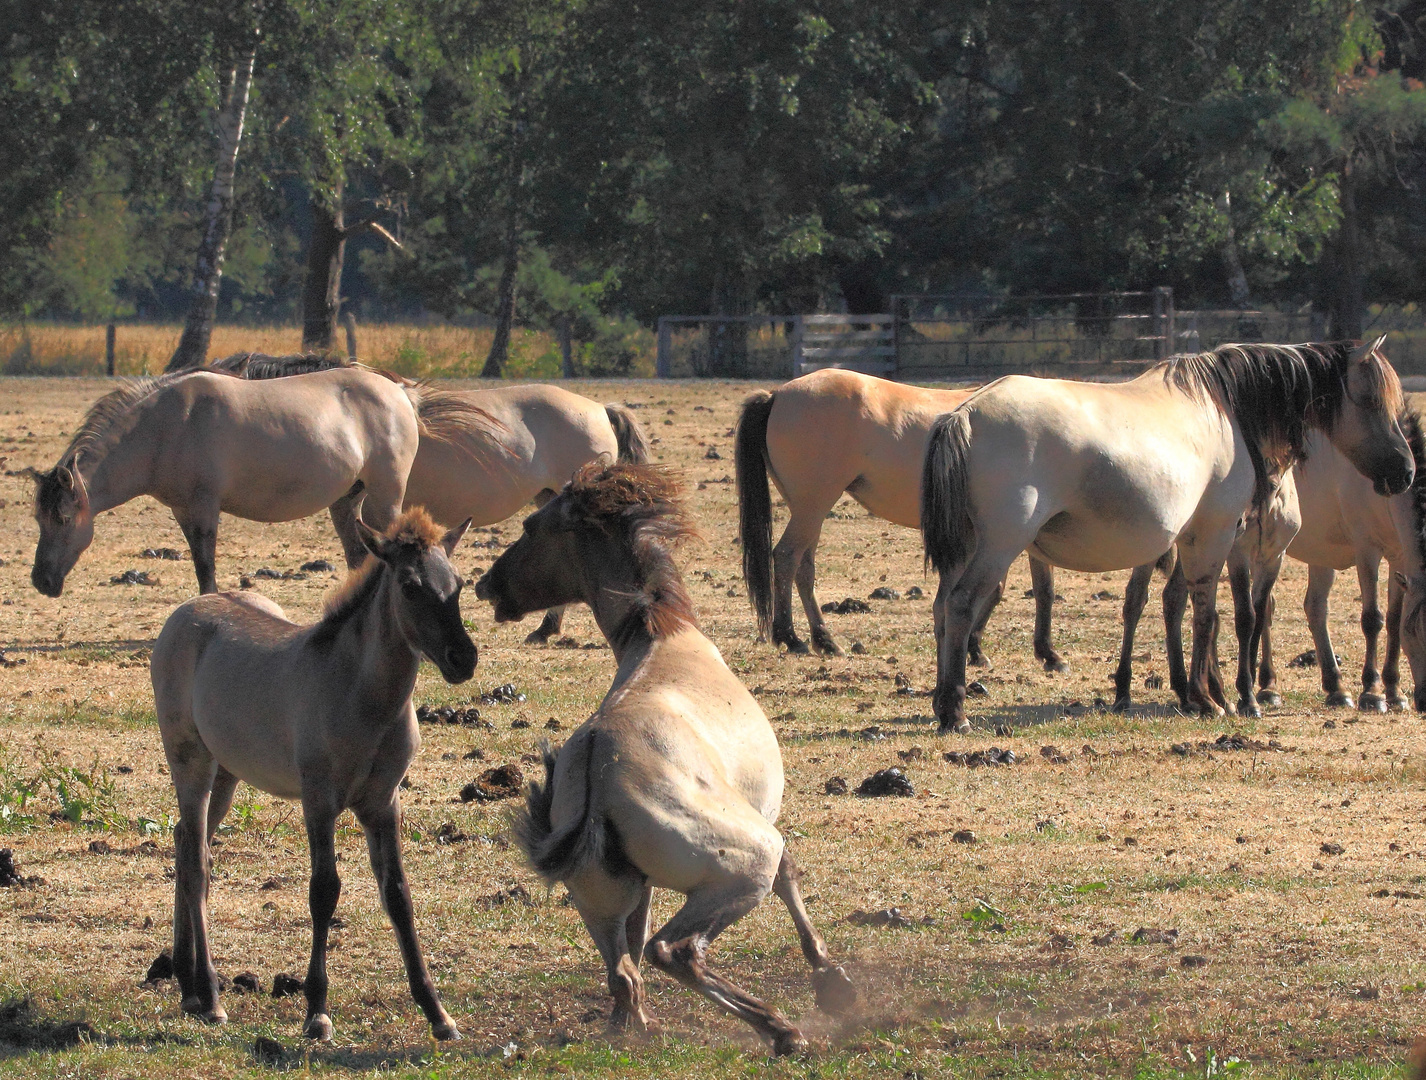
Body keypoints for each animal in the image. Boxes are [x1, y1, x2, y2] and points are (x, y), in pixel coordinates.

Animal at [149, 510, 473, 1038]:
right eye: (409, 586)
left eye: (459, 584)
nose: (463, 658)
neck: (361, 696)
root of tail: (186, 610)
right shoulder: (318, 800)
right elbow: (324, 892)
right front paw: (316, 1011)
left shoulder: (383, 802)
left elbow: (398, 894)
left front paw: (437, 1013)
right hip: (190, 760)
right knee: (197, 861)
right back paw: (211, 995)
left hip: (227, 772)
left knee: (185, 841)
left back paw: (187, 984)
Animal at [479, 462, 855, 1055]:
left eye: (532, 527)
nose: (486, 584)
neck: (665, 637)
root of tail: (596, 773)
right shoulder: (764, 825)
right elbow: (791, 877)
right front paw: (830, 980)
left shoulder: (639, 889)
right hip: (745, 863)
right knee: (673, 950)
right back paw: (781, 1030)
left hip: (601, 905)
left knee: (626, 972)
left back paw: (638, 1026)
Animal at [918, 340, 1408, 736]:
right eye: (1370, 400)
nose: (1405, 470)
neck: (1225, 410)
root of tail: (965, 413)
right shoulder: (1216, 535)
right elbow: (1209, 616)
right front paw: (1211, 700)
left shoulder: (1192, 540)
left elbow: (1190, 608)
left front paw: (1202, 694)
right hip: (999, 547)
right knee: (960, 606)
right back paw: (955, 711)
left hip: (966, 549)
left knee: (942, 609)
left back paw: (943, 701)